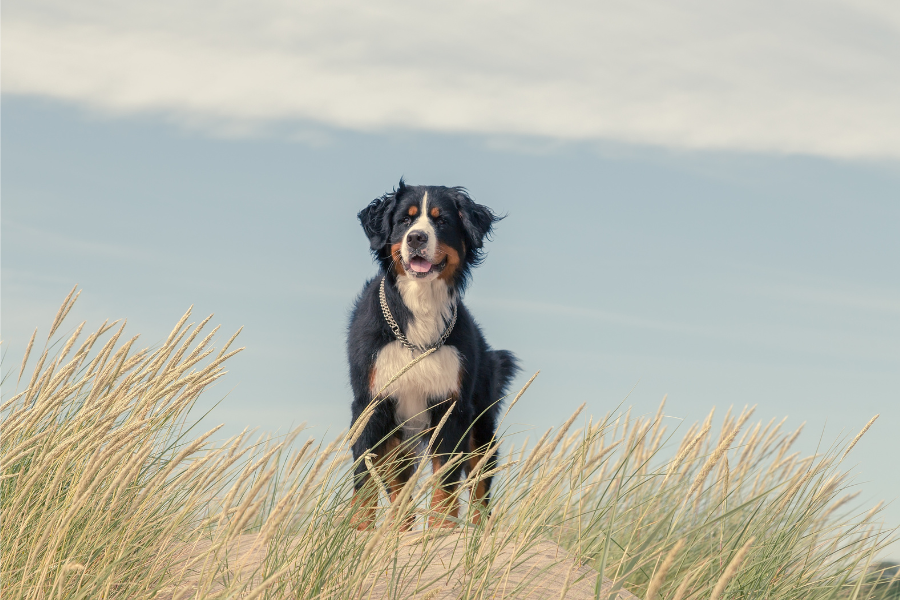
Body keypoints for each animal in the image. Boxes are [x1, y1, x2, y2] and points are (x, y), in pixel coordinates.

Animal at [352, 179, 520, 528]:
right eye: (405, 220)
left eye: (441, 221)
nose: (416, 237)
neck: (422, 304)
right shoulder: (371, 404)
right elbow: (365, 478)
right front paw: (355, 531)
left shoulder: (452, 406)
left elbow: (445, 482)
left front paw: (441, 532)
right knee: (398, 489)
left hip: (481, 431)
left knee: (480, 490)